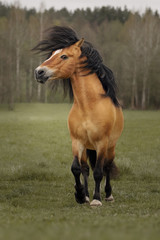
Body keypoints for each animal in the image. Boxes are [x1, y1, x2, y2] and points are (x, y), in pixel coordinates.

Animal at [33, 25, 124, 206]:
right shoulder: (77, 142)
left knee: (107, 167)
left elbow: (99, 171)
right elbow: (76, 169)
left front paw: (96, 199)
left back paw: (108, 195)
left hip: (111, 146)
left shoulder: (102, 143)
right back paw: (87, 194)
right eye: (52, 53)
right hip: (87, 148)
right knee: (85, 168)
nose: (39, 72)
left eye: (63, 56)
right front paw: (81, 195)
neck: (88, 106)